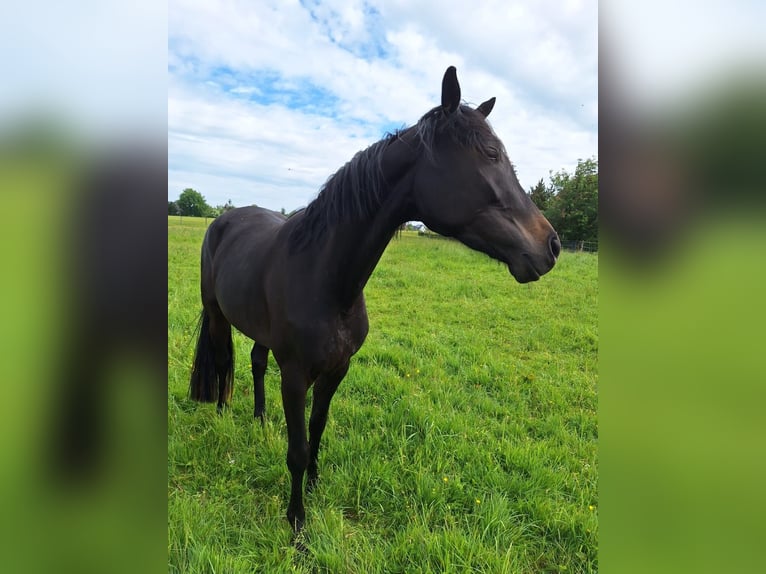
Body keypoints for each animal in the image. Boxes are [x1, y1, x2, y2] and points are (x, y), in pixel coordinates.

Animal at [189, 67, 560, 536]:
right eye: (491, 153)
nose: (550, 246)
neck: (327, 279)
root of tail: (224, 219)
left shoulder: (337, 370)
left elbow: (318, 430)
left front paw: (314, 488)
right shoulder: (295, 376)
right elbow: (298, 450)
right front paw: (297, 524)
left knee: (255, 361)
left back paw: (258, 419)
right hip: (217, 314)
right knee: (223, 361)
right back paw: (223, 414)